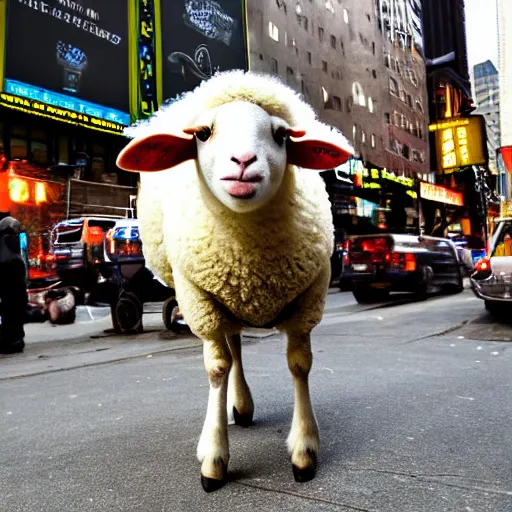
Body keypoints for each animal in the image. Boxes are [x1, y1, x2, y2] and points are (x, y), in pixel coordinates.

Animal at [116, 70, 354, 494]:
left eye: (281, 135)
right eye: (203, 133)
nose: (243, 161)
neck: (251, 256)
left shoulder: (309, 300)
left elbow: (300, 365)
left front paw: (304, 451)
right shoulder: (198, 299)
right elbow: (216, 369)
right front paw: (213, 458)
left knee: (238, 344)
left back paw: (242, 406)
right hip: (212, 297)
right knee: (230, 351)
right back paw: (237, 406)